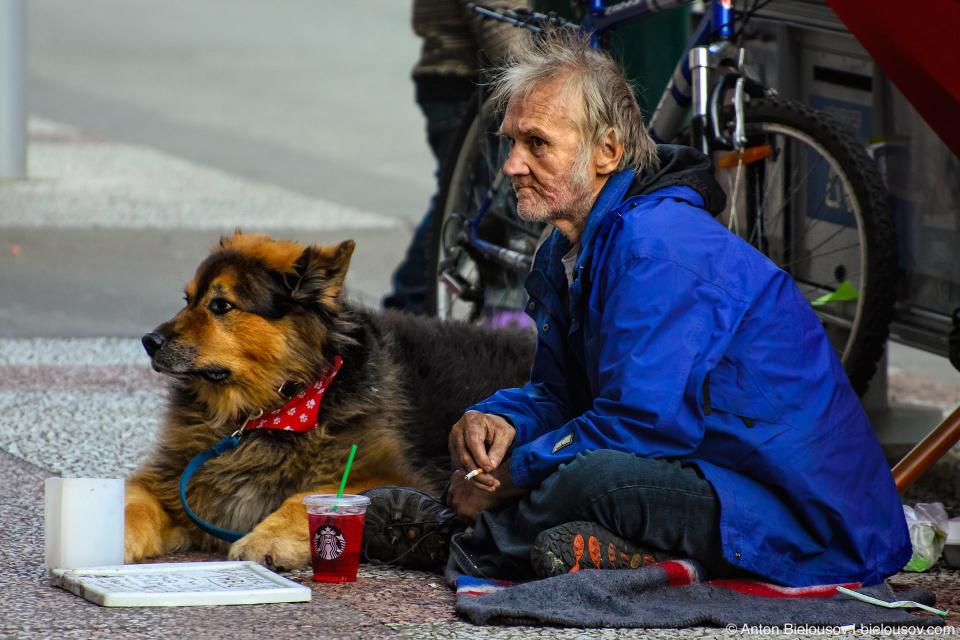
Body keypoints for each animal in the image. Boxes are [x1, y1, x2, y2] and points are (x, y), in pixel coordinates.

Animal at [122, 234, 532, 568]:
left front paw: (268, 538)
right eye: (188, 300)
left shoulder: (388, 474)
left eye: (221, 305)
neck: (275, 407)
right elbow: (132, 502)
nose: (149, 342)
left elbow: (309, 496)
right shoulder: (173, 481)